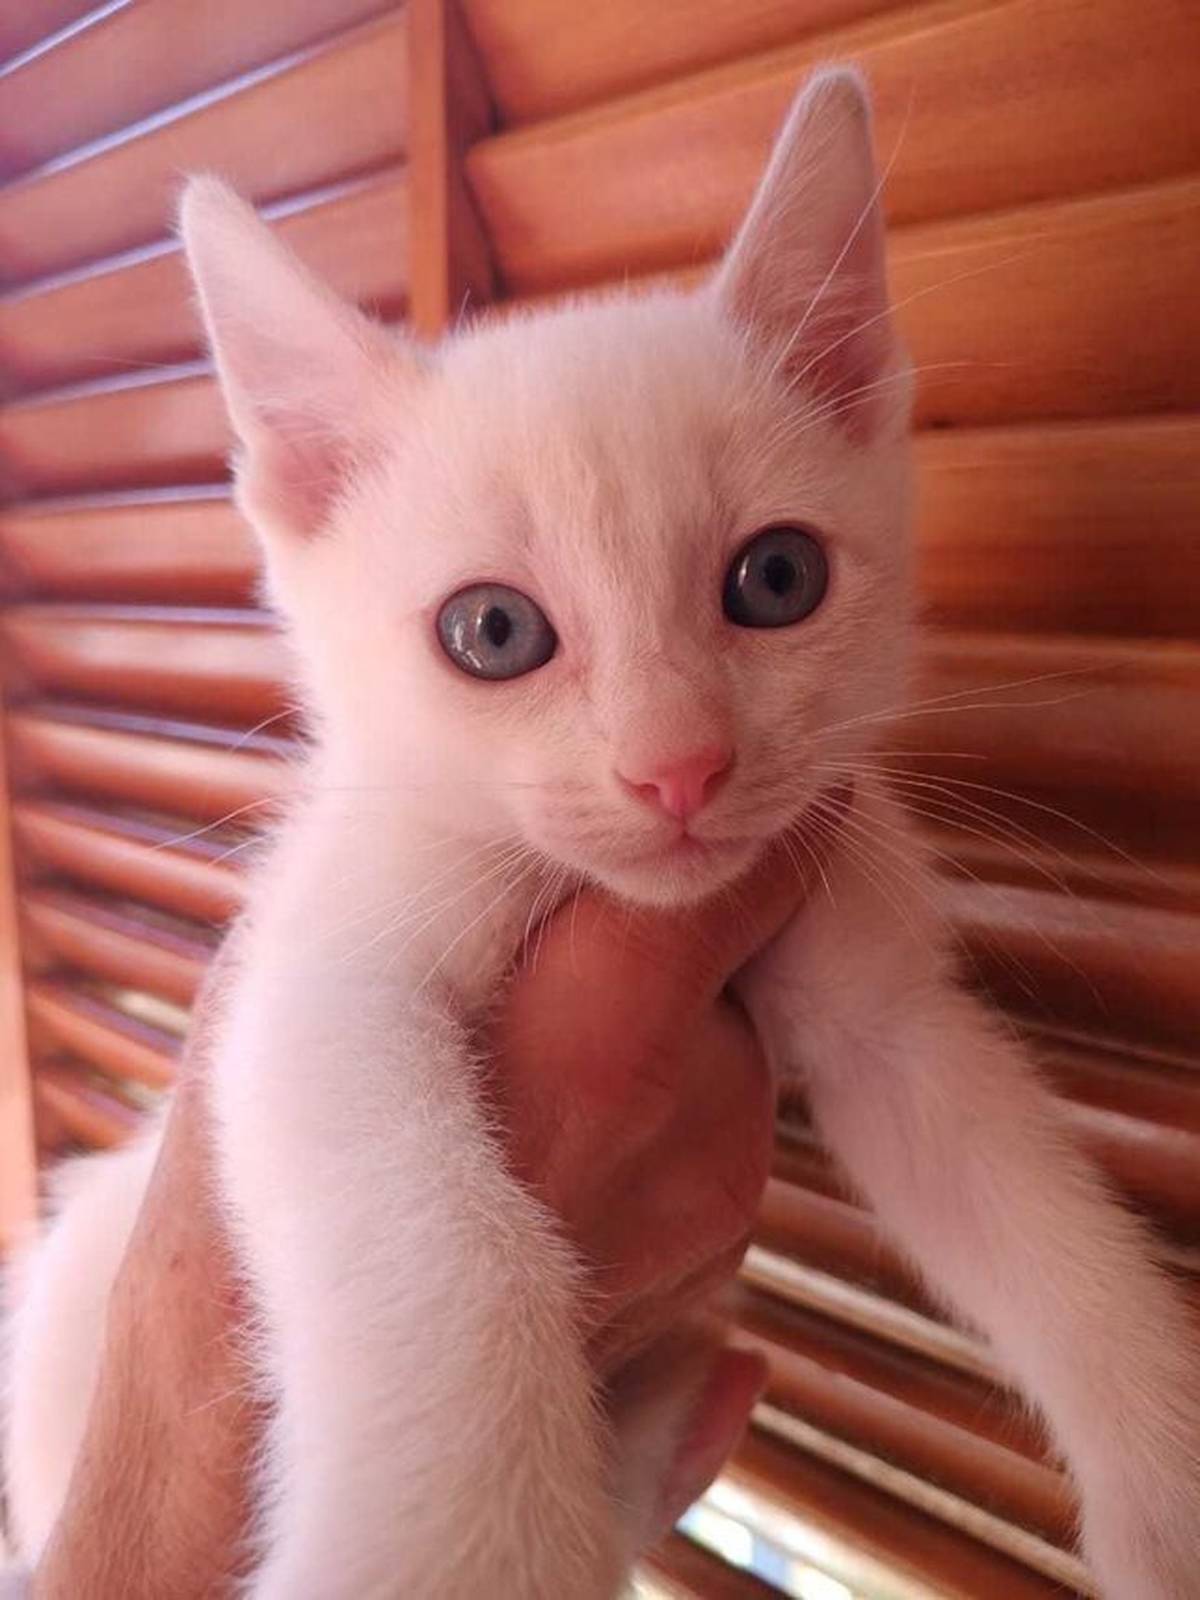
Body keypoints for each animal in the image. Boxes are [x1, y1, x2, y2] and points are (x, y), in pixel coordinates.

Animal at [4, 68, 1199, 1598]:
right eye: (492, 631)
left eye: (778, 578)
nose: (678, 766)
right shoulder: (316, 985)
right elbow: (436, 1234)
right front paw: (475, 1541)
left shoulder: (871, 985)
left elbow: (1009, 1179)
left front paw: (1164, 1476)